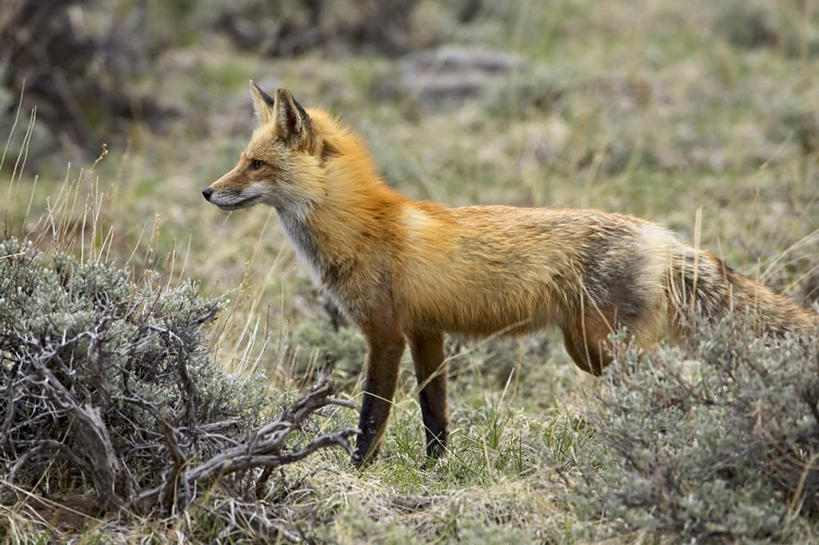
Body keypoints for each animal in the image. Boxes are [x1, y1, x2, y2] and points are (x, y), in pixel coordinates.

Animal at [203, 83, 819, 466]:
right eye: (241, 160)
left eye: (256, 165)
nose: (208, 192)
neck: (363, 226)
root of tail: (662, 237)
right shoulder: (426, 333)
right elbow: (434, 414)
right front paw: (435, 471)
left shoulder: (385, 334)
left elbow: (371, 418)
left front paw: (357, 472)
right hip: (590, 349)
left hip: (603, 351)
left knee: (677, 391)